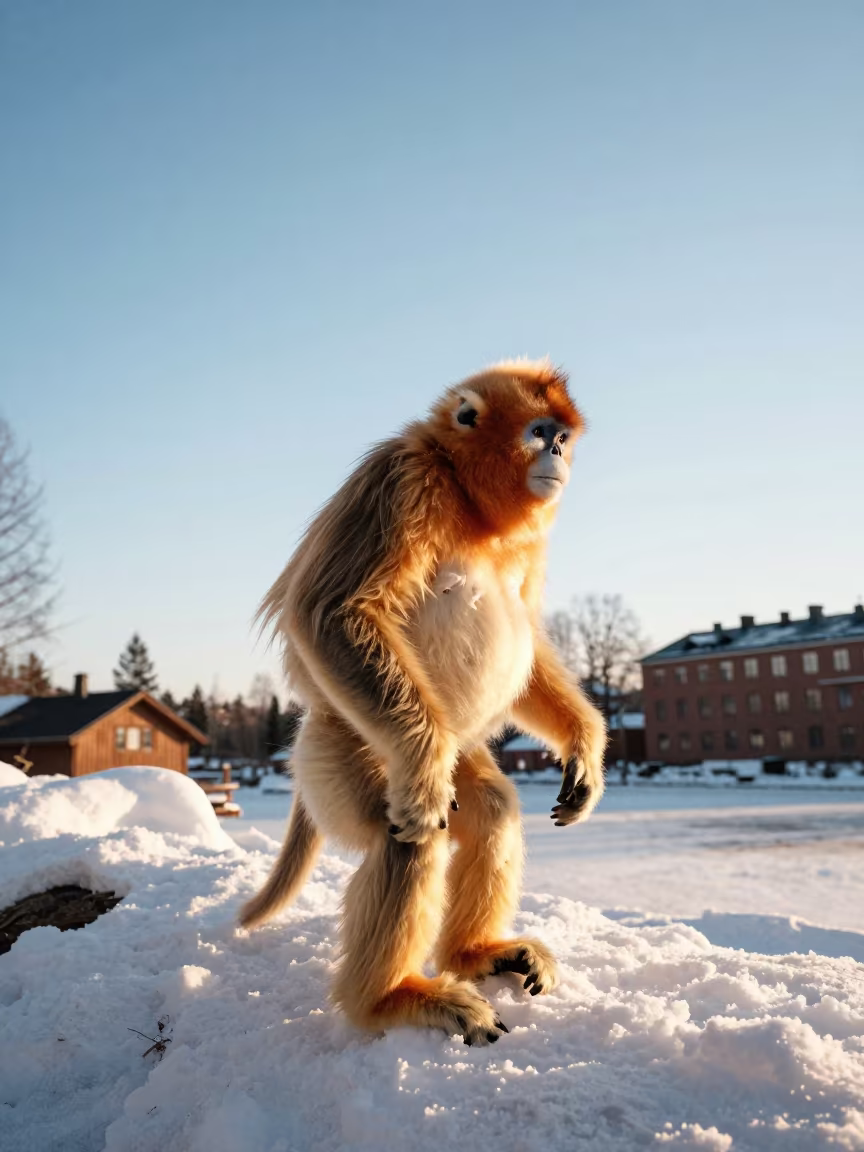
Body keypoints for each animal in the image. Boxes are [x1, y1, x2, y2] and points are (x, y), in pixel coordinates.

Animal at [239, 360, 607, 1046]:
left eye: (562, 437)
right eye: (538, 433)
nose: (556, 454)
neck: (468, 501)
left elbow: (527, 637)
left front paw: (585, 748)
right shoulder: (402, 477)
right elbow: (334, 613)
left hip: (452, 745)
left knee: (491, 808)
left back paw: (475, 953)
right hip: (343, 748)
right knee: (408, 833)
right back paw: (388, 1000)